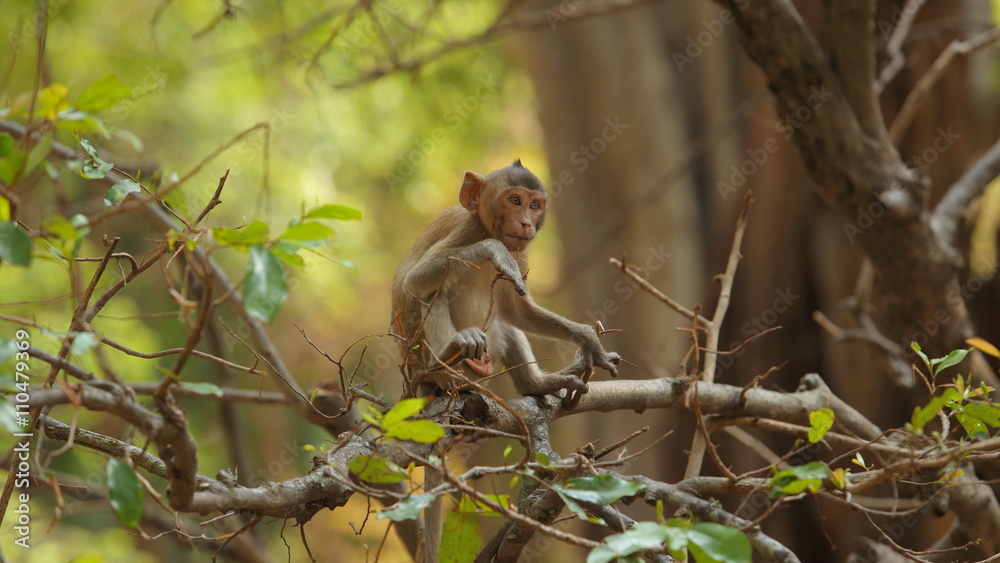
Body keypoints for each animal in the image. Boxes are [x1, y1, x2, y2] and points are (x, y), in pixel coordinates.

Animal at [391, 159, 618, 399]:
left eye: (535, 205)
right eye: (515, 201)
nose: (526, 223)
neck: (486, 229)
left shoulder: (521, 251)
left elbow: (518, 310)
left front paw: (588, 339)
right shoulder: (464, 229)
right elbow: (414, 279)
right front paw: (495, 249)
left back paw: (537, 384)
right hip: (450, 370)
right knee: (433, 291)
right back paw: (444, 355)